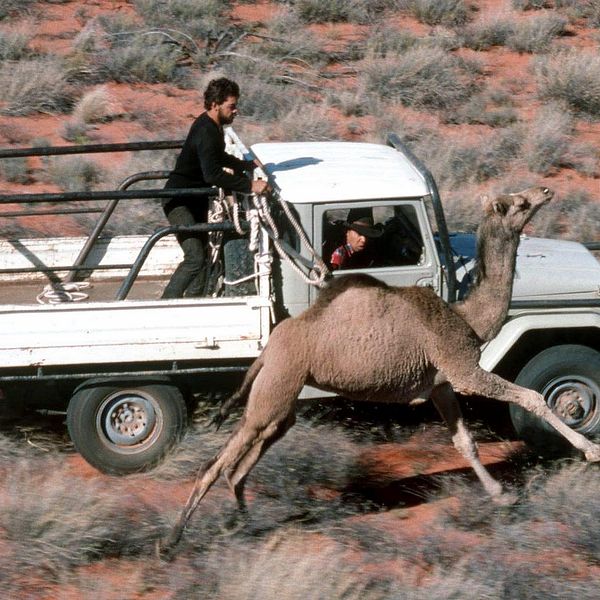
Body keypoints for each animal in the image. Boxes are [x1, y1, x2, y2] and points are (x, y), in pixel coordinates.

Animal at [158, 186, 600, 552]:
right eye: (520, 203)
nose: (545, 190)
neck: (467, 318)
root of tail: (271, 346)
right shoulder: (463, 369)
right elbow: (533, 395)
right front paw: (589, 449)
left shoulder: (440, 383)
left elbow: (465, 442)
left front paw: (502, 495)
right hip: (277, 385)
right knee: (216, 463)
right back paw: (172, 540)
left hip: (282, 394)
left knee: (244, 459)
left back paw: (242, 524)